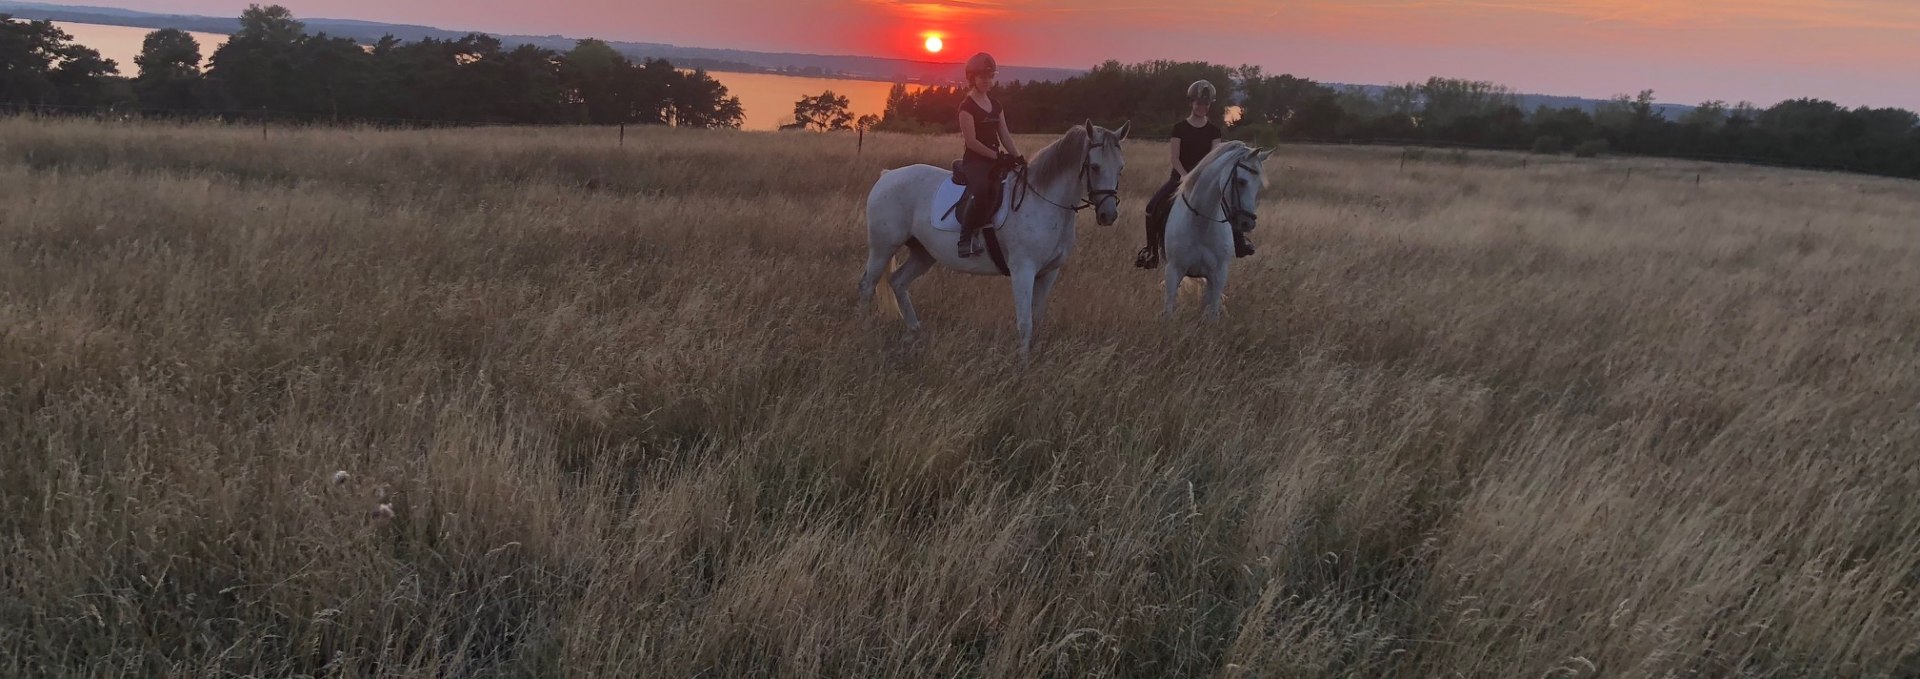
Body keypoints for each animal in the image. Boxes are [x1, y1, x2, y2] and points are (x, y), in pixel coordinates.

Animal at [856, 119, 1121, 354]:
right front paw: (1022, 365)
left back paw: (914, 331)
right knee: (867, 286)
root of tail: (887, 175)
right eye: (1095, 166)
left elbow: (1037, 318)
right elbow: (1025, 323)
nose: (1108, 215)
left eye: (1120, 168)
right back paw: (864, 332)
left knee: (898, 282)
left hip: (923, 253)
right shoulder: (1023, 270)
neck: (1044, 201)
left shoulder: (1049, 273)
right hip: (883, 247)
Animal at [1152, 140, 1274, 320]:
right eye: (1241, 181)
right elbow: (1168, 310)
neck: (1202, 224)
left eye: (1259, 185)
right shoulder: (1173, 271)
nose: (1248, 223)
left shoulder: (1218, 275)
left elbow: (1212, 314)